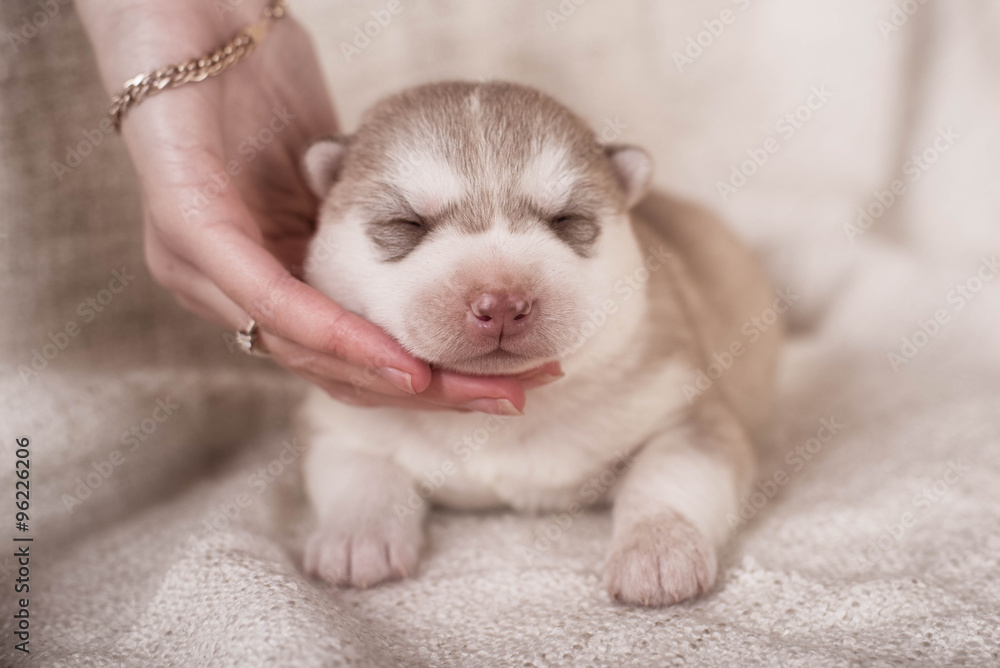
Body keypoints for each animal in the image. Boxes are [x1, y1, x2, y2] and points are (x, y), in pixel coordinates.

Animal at [296, 79, 780, 604]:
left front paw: (658, 549)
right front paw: (355, 540)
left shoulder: (685, 407)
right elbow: (360, 473)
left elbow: (670, 474)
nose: (503, 303)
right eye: (406, 223)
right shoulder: (346, 420)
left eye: (566, 220)